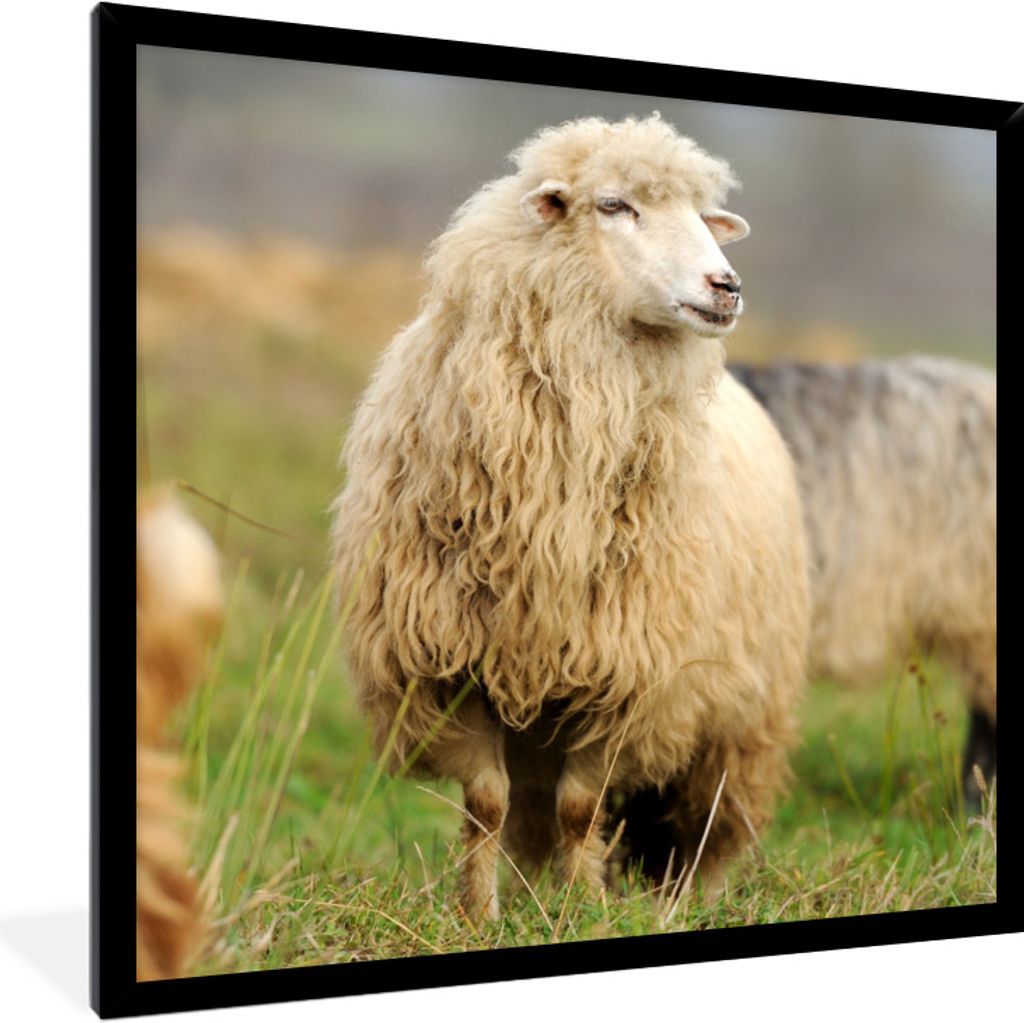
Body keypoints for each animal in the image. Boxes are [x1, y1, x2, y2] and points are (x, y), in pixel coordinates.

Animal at [331, 115, 810, 919]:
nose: (727, 286)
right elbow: (486, 803)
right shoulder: (449, 663)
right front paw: (481, 913)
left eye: (702, 215)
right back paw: (534, 883)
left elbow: (582, 808)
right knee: (530, 805)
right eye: (615, 205)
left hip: (741, 714)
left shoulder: (631, 674)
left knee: (712, 820)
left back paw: (688, 899)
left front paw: (582, 910)